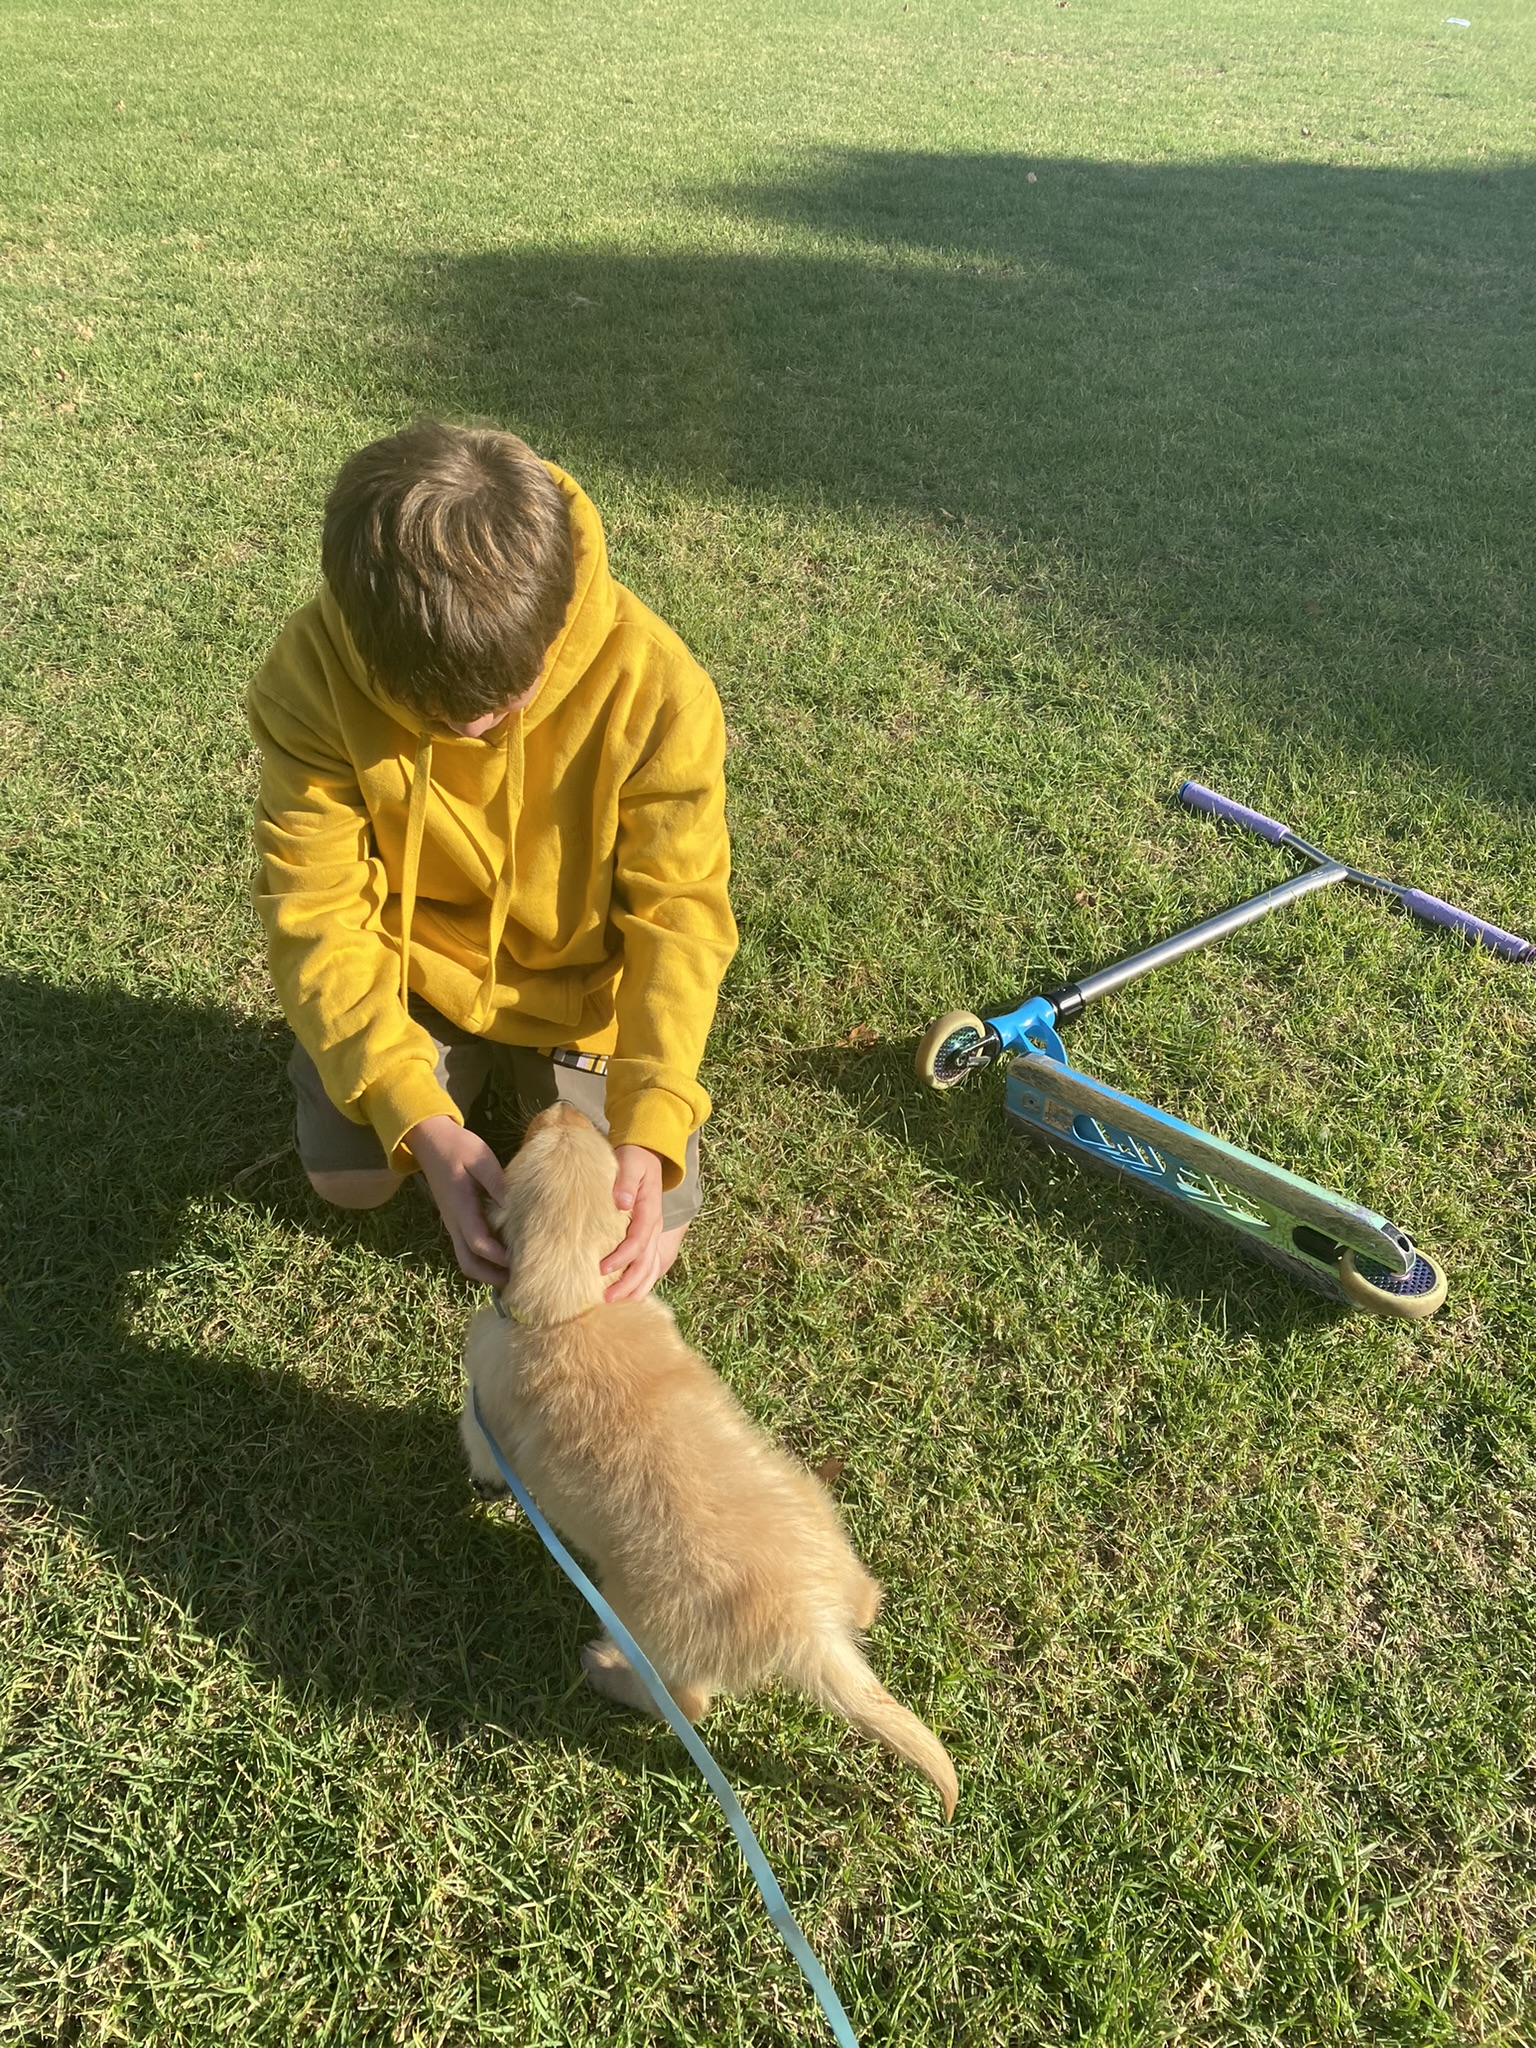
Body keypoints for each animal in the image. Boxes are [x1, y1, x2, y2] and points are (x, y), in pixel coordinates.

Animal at [462, 1114, 958, 1818]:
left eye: (526, 1149)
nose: (570, 1111)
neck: (578, 1302)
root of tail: (808, 1627)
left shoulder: (481, 1398)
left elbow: (478, 1445)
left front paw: (485, 1487)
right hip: (822, 1524)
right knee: (867, 1598)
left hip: (643, 1623)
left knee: (689, 1705)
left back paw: (603, 1671)